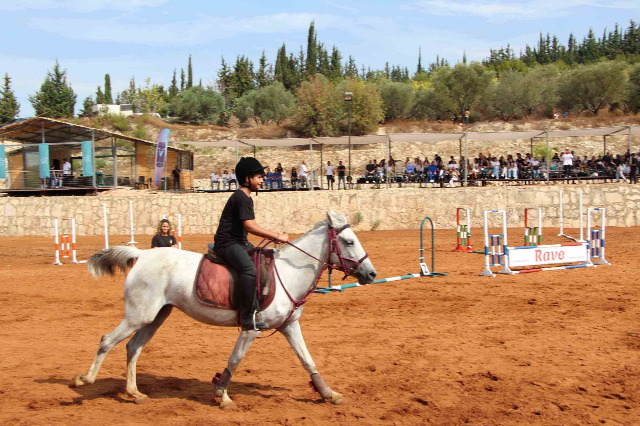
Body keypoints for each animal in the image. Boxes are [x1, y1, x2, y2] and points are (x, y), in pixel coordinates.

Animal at [71, 212, 376, 410]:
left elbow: (307, 360)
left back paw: (134, 393)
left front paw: (329, 394)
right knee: (107, 341)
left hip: (155, 317)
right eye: (349, 241)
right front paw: (222, 395)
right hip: (139, 316)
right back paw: (84, 380)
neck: (288, 273)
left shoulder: (289, 326)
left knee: (133, 347)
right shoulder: (251, 329)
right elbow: (235, 360)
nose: (371, 274)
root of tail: (143, 255)